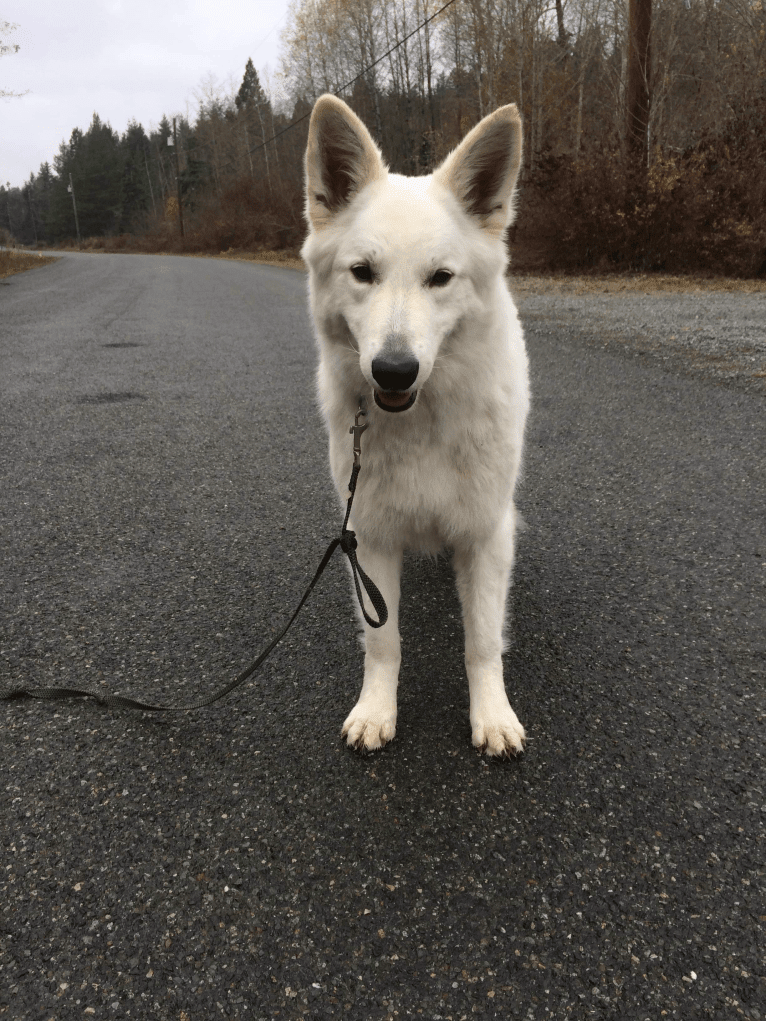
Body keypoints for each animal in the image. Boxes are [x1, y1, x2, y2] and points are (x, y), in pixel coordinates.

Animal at [302, 93, 531, 759]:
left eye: (440, 278)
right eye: (362, 272)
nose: (394, 370)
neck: (423, 420)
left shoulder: (485, 535)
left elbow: (482, 641)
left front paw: (492, 714)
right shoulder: (369, 539)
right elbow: (384, 642)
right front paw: (377, 709)